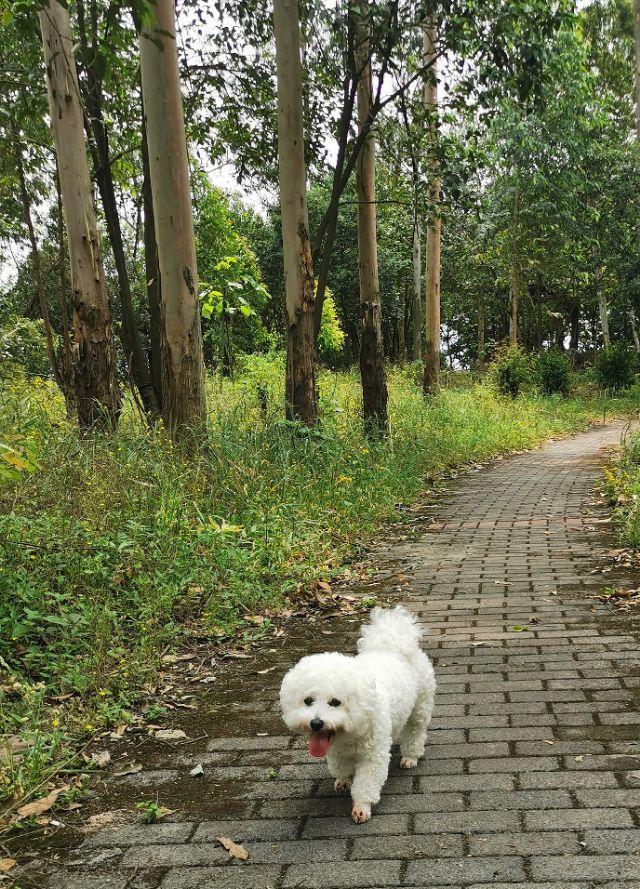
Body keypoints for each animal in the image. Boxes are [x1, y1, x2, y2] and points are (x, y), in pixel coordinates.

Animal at [278, 608, 436, 824]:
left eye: (335, 702)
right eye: (308, 700)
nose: (316, 723)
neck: (347, 734)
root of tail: (393, 643)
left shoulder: (372, 756)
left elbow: (366, 784)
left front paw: (361, 807)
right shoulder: (336, 751)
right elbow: (341, 767)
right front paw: (344, 781)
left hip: (420, 707)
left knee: (415, 732)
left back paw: (411, 756)